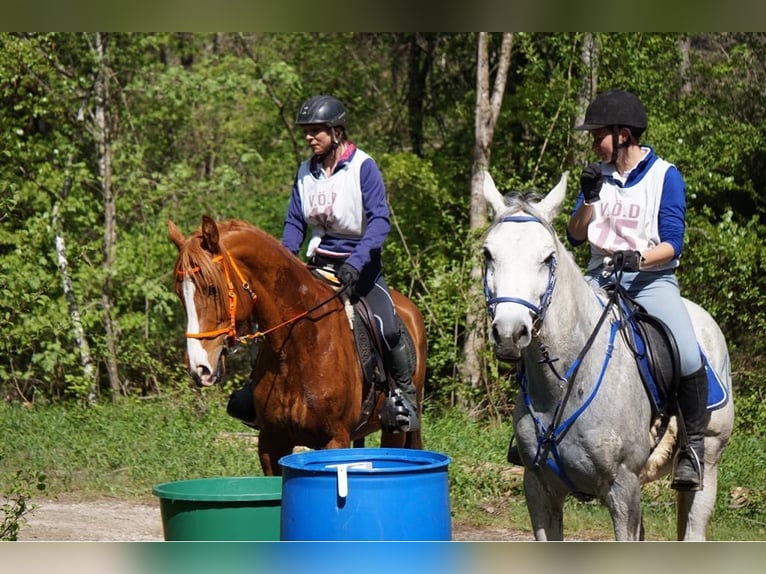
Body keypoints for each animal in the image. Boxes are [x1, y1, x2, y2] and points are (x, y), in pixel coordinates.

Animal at [167, 215, 426, 476]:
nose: (199, 368)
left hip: (394, 430)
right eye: (180, 293)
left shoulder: (334, 439)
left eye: (212, 289)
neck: (299, 346)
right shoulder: (271, 443)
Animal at [481, 171, 734, 541]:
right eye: (488, 254)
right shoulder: (539, 490)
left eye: (547, 258)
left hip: (708, 464)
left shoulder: (622, 488)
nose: (510, 333)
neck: (564, 383)